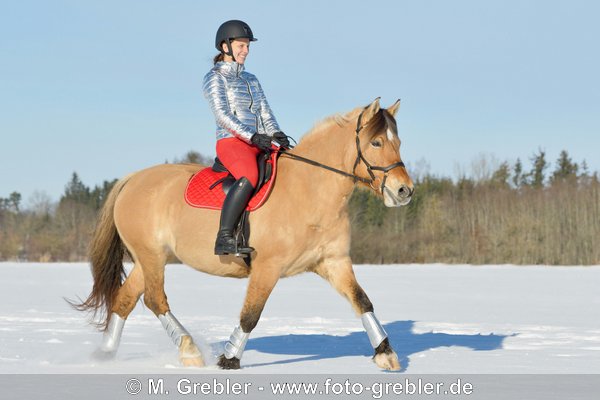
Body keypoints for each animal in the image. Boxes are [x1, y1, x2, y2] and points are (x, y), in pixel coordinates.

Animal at [74, 98, 412, 370]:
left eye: (398, 141)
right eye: (376, 143)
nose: (404, 191)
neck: (309, 190)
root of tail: (132, 179)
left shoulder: (334, 261)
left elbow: (363, 301)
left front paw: (386, 353)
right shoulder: (267, 267)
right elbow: (251, 314)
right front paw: (229, 359)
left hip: (150, 260)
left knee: (125, 299)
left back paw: (105, 354)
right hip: (151, 255)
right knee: (155, 300)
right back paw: (190, 351)